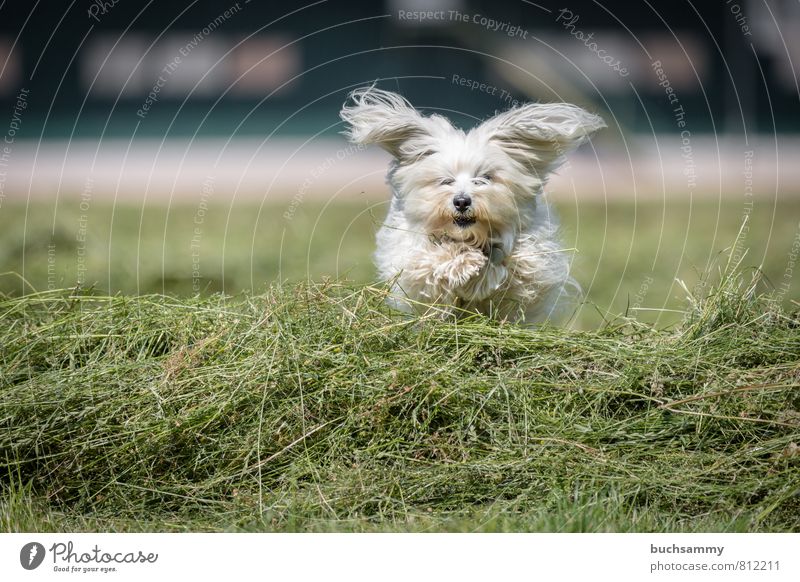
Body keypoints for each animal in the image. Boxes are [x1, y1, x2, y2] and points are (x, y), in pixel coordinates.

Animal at [340, 88, 608, 324]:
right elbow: (430, 264)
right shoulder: (411, 259)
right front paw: (464, 262)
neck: (469, 236)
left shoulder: (532, 262)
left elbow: (512, 269)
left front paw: (483, 267)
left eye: (485, 178)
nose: (461, 201)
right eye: (446, 180)